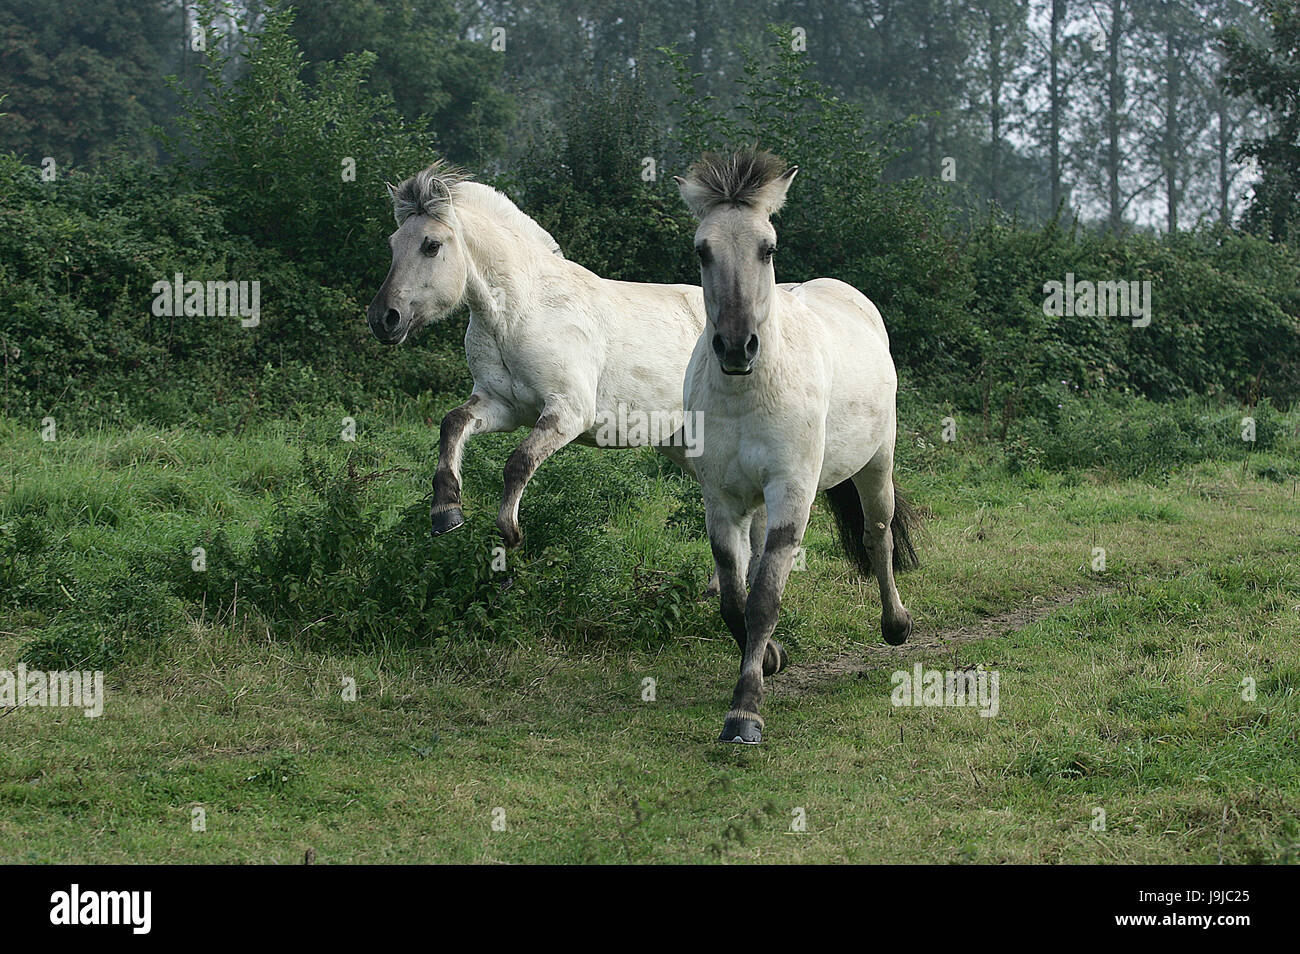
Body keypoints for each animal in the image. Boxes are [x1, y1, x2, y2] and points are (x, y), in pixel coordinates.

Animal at [365, 161, 765, 578]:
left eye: (432, 245)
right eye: (393, 244)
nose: (383, 319)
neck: (520, 313)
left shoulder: (568, 412)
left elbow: (519, 462)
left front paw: (510, 534)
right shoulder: (501, 407)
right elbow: (452, 424)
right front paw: (447, 512)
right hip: (684, 444)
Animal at [674, 148, 920, 744]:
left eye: (768, 247)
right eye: (701, 250)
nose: (736, 346)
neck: (748, 391)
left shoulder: (792, 491)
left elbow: (763, 600)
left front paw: (744, 714)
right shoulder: (721, 499)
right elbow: (734, 597)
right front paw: (768, 659)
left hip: (876, 463)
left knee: (878, 535)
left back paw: (896, 624)